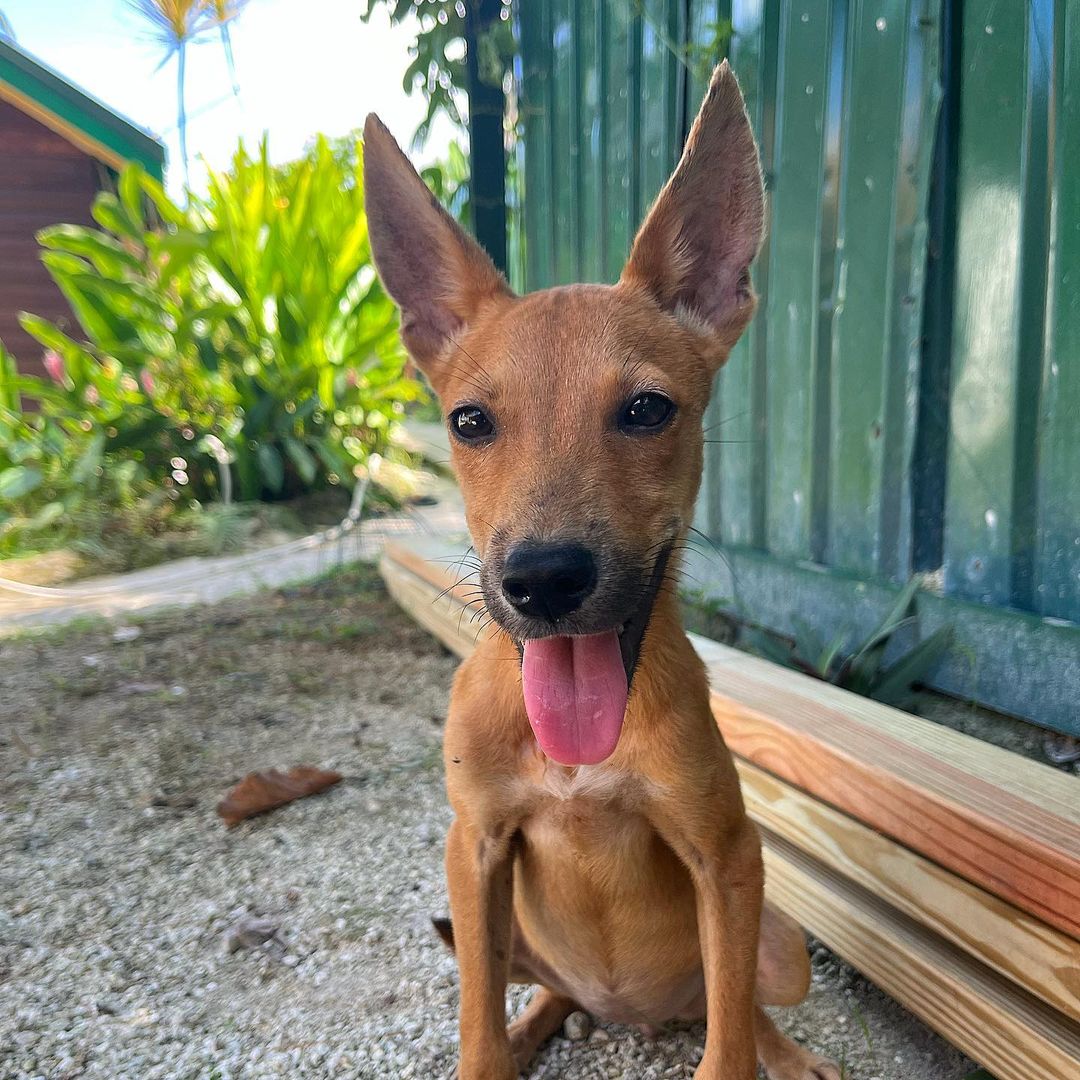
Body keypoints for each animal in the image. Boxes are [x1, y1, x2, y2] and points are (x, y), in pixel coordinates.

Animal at [362, 65, 842, 1080]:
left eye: (648, 409)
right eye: (468, 422)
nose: (544, 581)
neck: (576, 758)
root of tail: (637, 1015)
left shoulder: (727, 856)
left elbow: (730, 1044)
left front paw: (756, 1054)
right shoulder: (474, 848)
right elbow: (475, 1030)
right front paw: (494, 1047)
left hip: (781, 947)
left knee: (743, 1005)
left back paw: (789, 1053)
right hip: (512, 935)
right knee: (542, 988)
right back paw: (546, 1020)